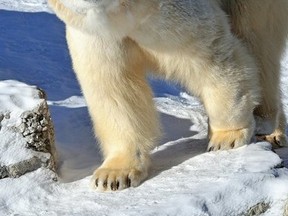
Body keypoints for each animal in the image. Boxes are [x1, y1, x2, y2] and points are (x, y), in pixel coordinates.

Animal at [47, 0, 288, 191]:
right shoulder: (93, 32)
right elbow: (114, 89)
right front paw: (113, 176)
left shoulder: (165, 12)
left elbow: (210, 54)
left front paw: (226, 137)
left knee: (256, 37)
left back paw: (263, 121)